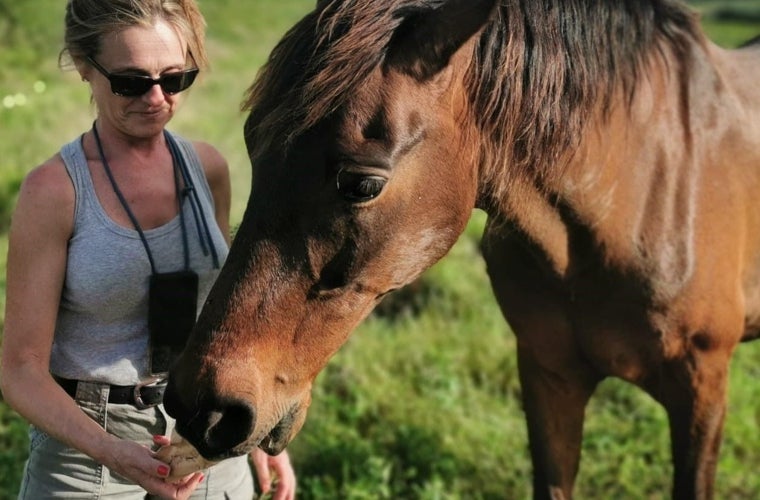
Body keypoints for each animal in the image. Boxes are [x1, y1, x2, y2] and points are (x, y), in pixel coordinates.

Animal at [160, 1, 760, 498]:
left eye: (362, 184)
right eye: (252, 148)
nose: (200, 407)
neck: (635, 196)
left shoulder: (701, 389)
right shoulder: (548, 375)